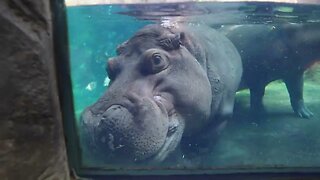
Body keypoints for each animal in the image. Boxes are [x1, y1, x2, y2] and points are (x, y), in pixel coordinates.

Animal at [80, 22, 242, 165]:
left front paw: (193, 160)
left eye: (157, 59)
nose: (94, 122)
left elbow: (203, 144)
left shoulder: (222, 116)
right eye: (109, 66)